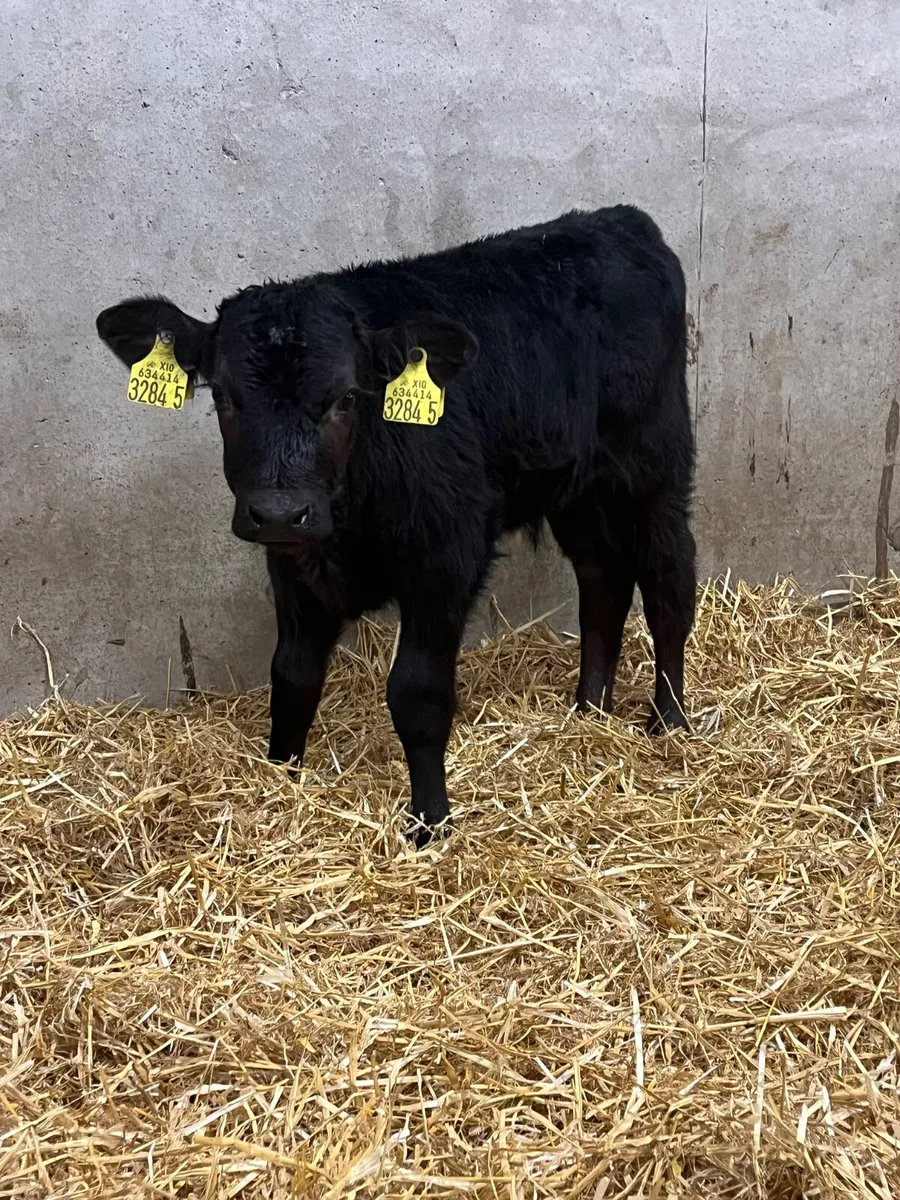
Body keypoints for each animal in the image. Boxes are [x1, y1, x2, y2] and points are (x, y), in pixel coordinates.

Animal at [96, 206, 696, 844]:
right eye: (226, 398)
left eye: (345, 397)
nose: (280, 510)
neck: (350, 516)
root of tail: (618, 220)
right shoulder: (292, 560)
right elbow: (292, 675)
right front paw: (282, 780)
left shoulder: (447, 556)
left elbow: (418, 693)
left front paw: (429, 821)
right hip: (578, 489)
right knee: (603, 580)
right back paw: (588, 711)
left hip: (655, 462)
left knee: (669, 582)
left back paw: (669, 722)